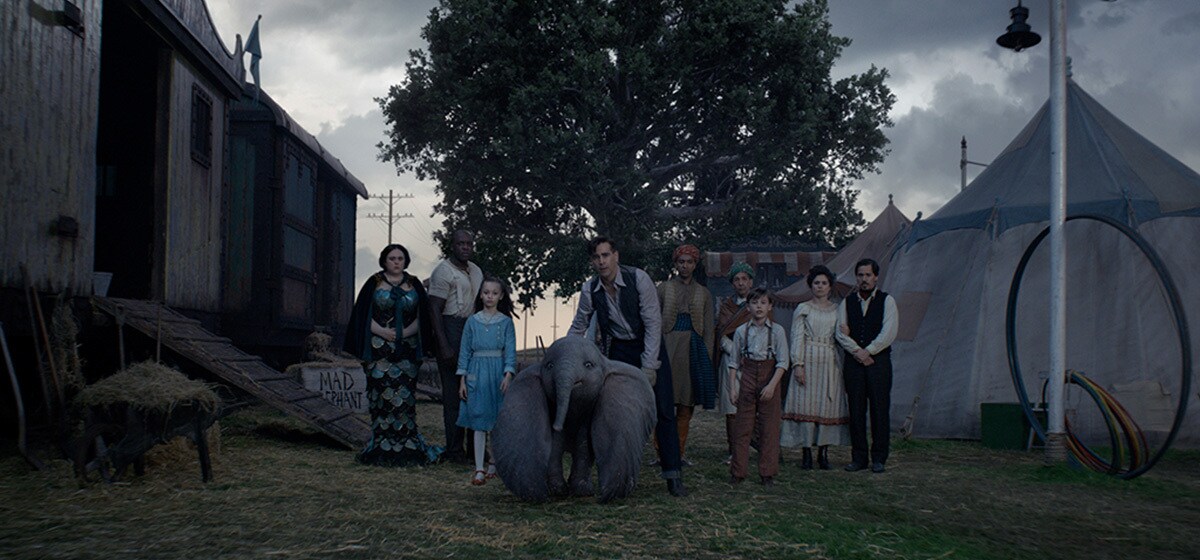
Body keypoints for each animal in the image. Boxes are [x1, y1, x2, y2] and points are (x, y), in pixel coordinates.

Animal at [489, 338, 657, 503]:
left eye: (588, 365)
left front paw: (582, 492)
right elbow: (555, 444)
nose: (556, 425)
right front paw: (557, 491)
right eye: (549, 366)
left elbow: (584, 444)